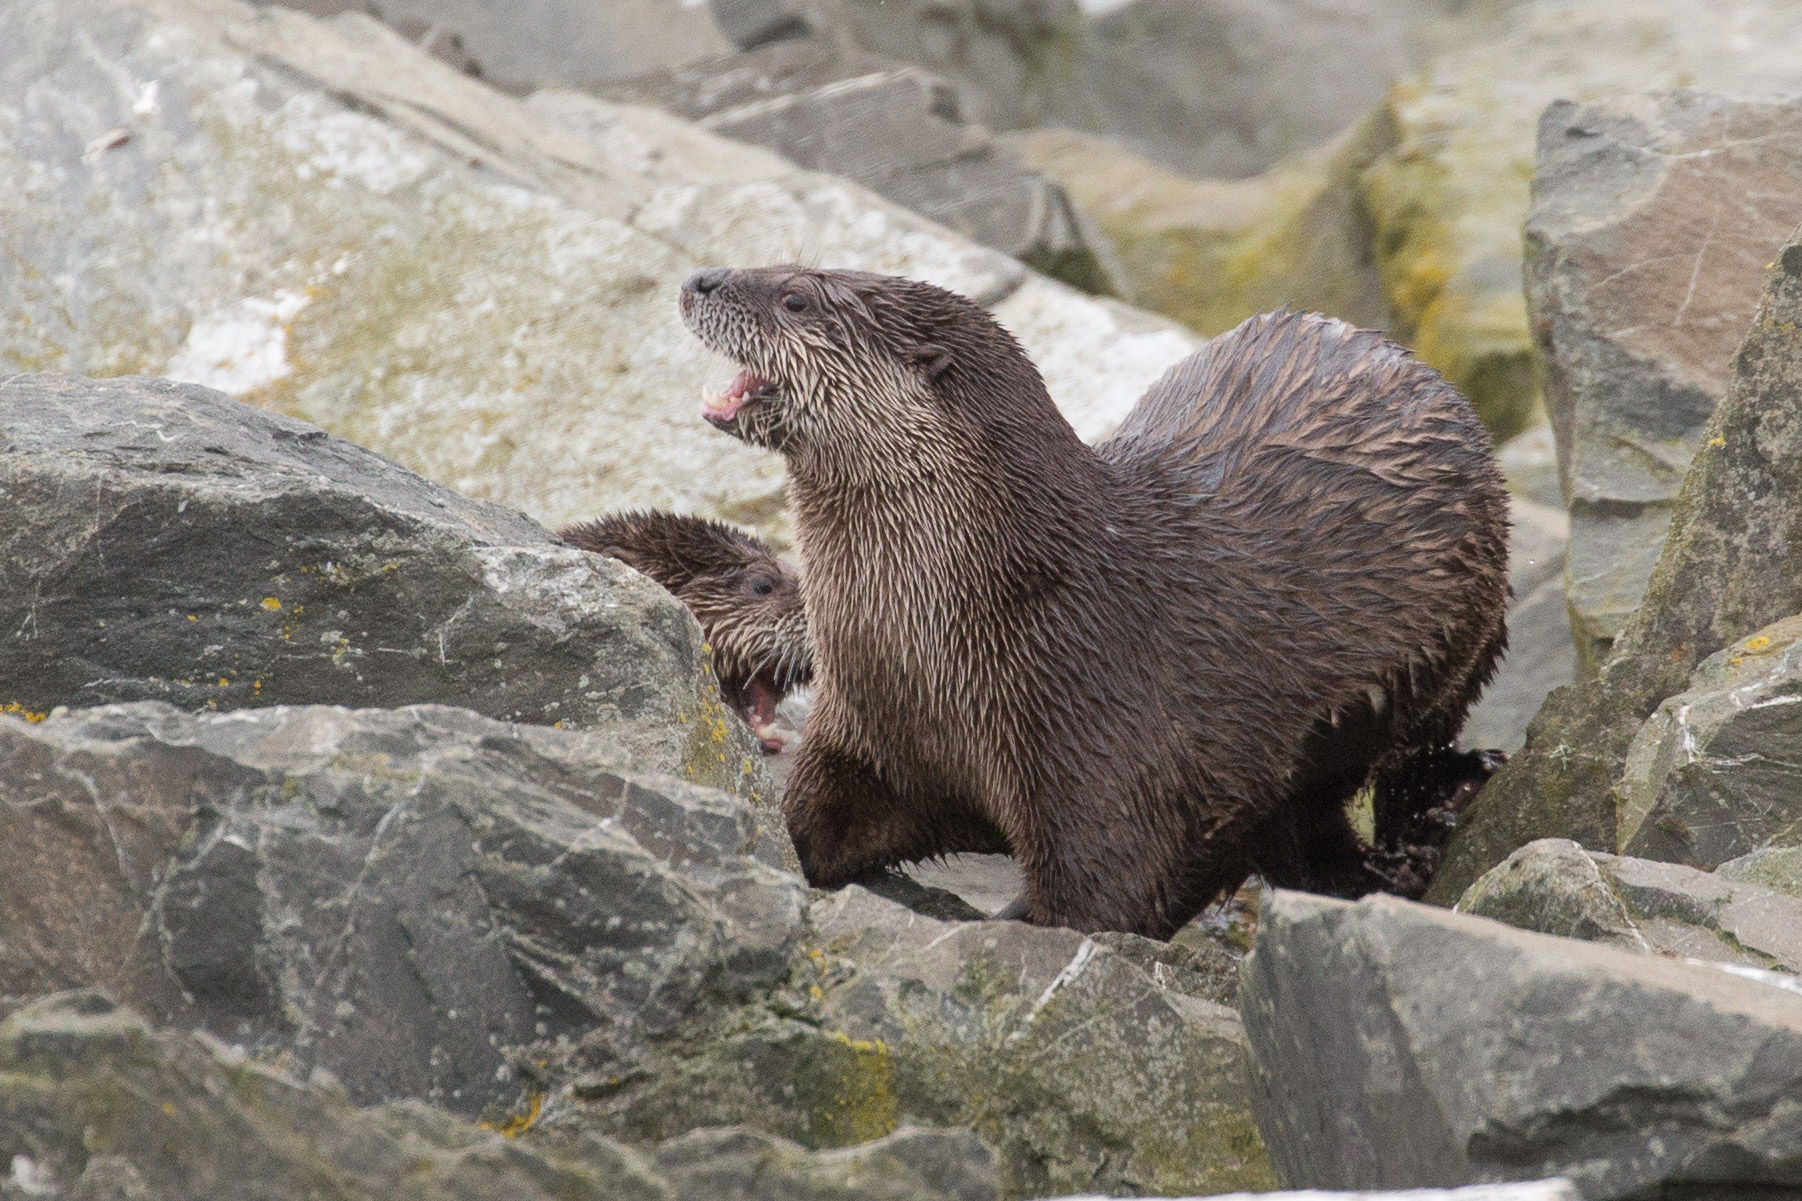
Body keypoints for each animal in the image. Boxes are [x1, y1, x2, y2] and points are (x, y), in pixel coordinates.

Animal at [677, 265, 1506, 937]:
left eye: (794, 296)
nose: (701, 278)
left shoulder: (1102, 761)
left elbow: (1100, 901)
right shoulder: (865, 731)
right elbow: (809, 830)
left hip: (1455, 652)